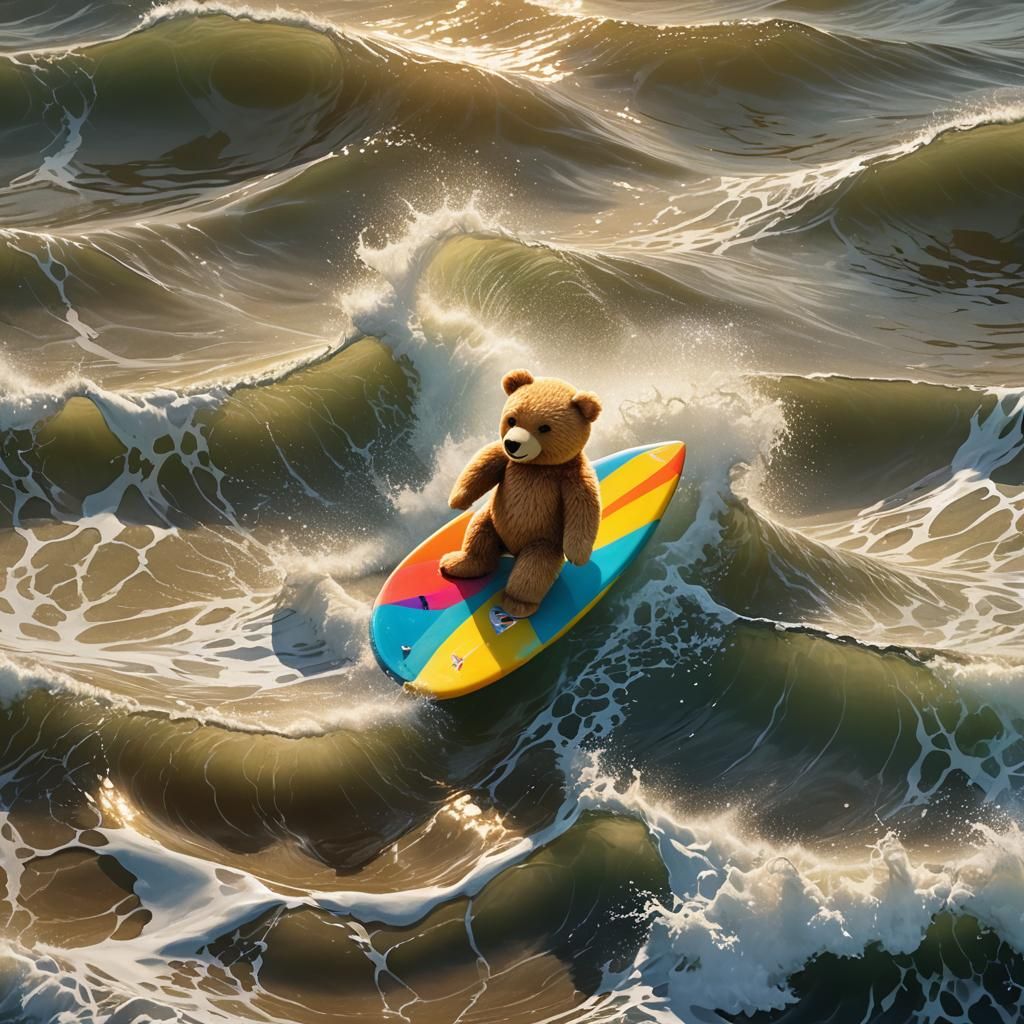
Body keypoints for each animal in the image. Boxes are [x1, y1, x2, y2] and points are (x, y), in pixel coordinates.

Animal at [439, 369, 602, 618]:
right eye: (511, 420)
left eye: (544, 428)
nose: (513, 444)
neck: (535, 467)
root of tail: (510, 551)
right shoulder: (503, 457)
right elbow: (483, 463)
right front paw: (457, 500)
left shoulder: (572, 474)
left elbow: (584, 502)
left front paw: (578, 555)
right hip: (491, 520)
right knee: (478, 534)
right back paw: (460, 564)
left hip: (542, 543)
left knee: (533, 569)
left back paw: (517, 604)